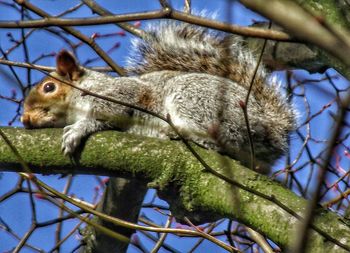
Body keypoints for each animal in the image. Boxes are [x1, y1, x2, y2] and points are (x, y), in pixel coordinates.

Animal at [20, 21, 296, 172]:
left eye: (49, 88)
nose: (25, 119)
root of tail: (270, 128)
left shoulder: (125, 93)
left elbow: (108, 111)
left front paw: (77, 130)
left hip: (193, 99)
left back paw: (188, 136)